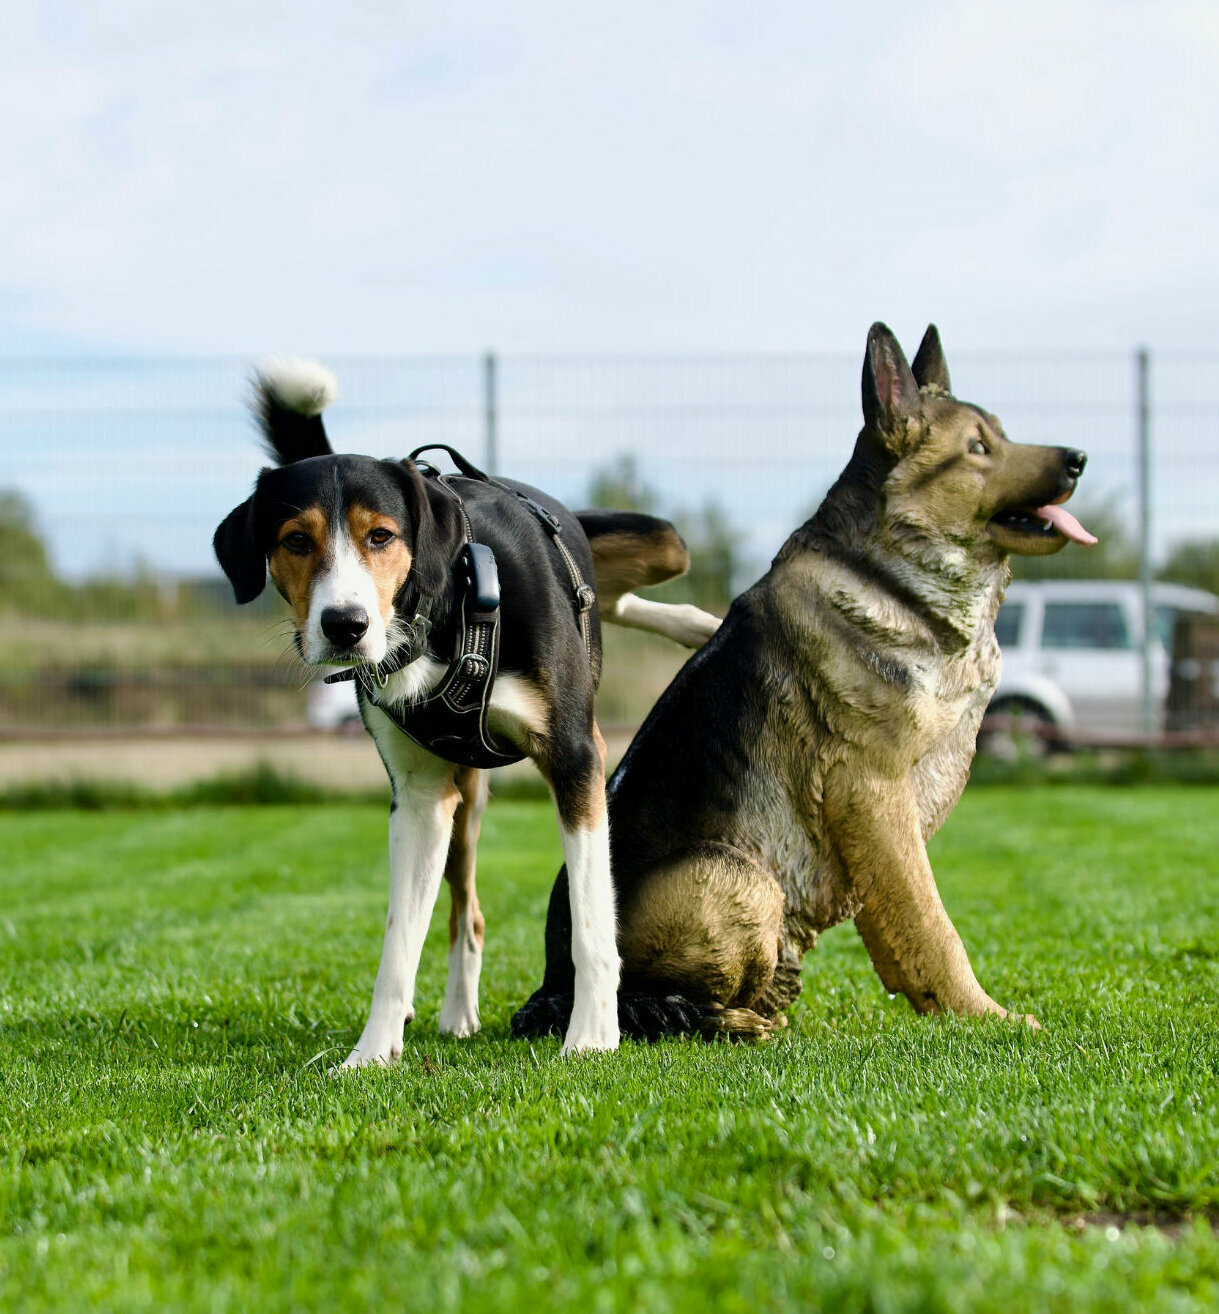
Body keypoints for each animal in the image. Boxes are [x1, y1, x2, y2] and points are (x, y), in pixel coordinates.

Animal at [214, 362, 719, 1066]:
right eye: (294, 541)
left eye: (381, 535)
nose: (345, 626)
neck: (448, 607)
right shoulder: (421, 798)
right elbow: (399, 943)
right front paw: (371, 1053)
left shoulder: (576, 756)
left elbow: (592, 918)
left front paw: (593, 1036)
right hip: (461, 803)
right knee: (467, 914)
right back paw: (457, 1014)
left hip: (661, 540)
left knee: (625, 585)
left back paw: (697, 624)